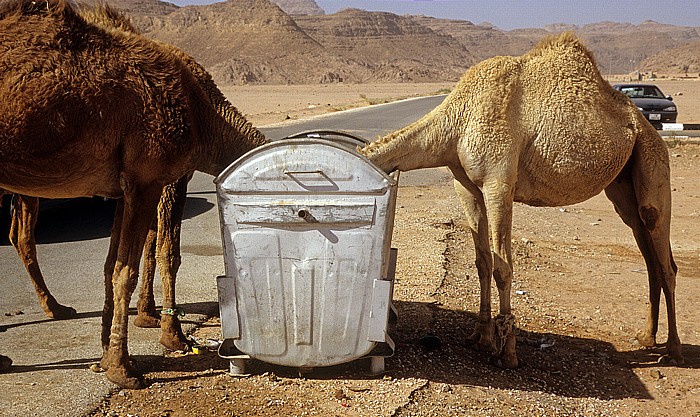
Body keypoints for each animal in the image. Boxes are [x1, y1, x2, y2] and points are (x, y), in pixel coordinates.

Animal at [0, 0, 266, 388]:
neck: (203, 112)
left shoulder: (123, 186)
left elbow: (112, 265)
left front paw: (105, 355)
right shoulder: (152, 177)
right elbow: (148, 260)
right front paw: (134, 361)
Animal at [360, 33, 684, 368]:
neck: (456, 122)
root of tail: (644, 123)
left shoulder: (499, 183)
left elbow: (503, 267)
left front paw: (507, 353)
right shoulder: (466, 185)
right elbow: (483, 261)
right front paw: (481, 337)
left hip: (653, 159)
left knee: (665, 258)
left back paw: (674, 349)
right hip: (623, 187)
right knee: (648, 256)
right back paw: (646, 337)